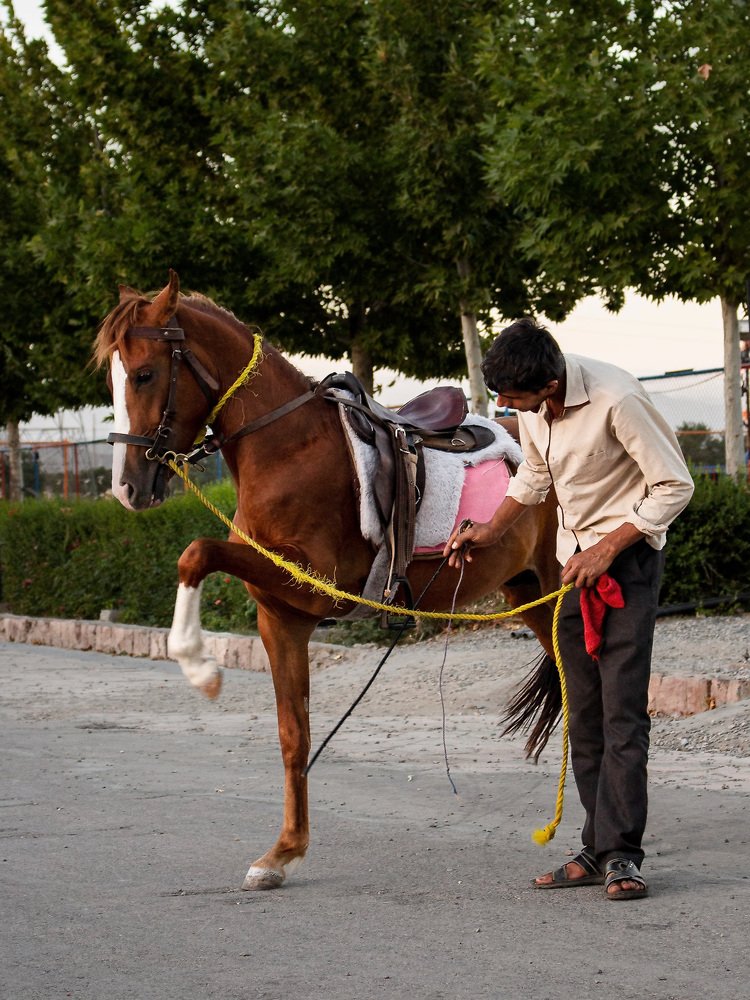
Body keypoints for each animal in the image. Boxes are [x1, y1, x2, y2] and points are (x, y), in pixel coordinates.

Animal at [94, 271, 561, 890]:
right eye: (112, 378)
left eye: (145, 373)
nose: (127, 488)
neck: (287, 446)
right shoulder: (281, 617)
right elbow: (294, 734)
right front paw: (283, 852)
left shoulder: (314, 586)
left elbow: (195, 553)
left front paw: (200, 668)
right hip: (528, 593)